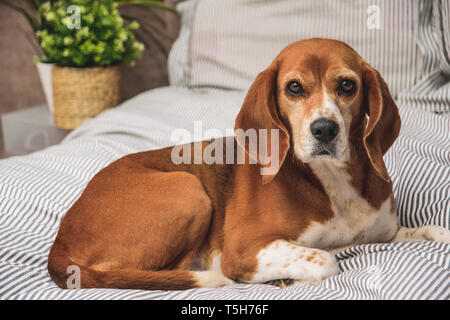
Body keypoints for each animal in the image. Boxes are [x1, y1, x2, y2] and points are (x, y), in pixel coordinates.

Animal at [47, 38, 448, 290]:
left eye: (347, 85)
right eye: (294, 88)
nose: (324, 129)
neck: (332, 181)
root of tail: (61, 240)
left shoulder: (386, 233)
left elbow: (427, 230)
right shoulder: (243, 249)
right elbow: (325, 260)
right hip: (188, 190)